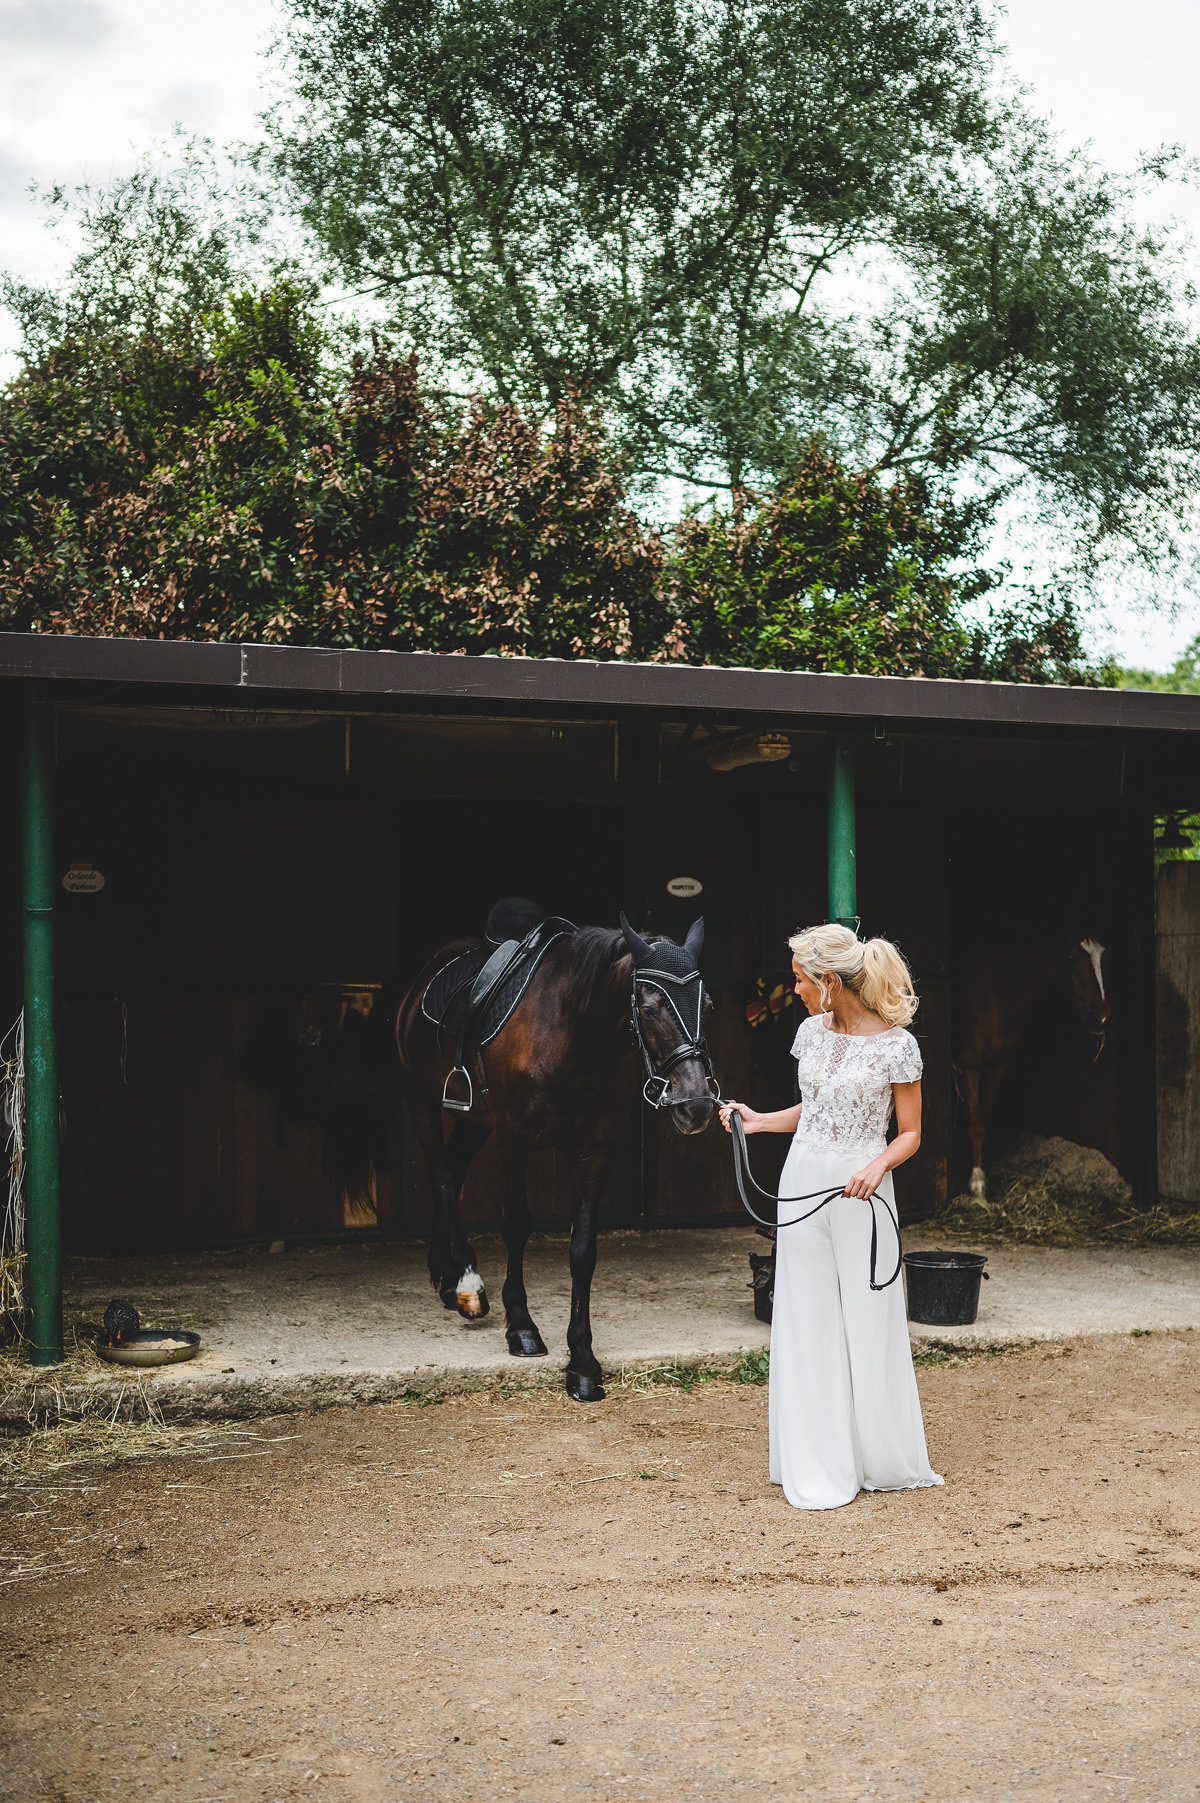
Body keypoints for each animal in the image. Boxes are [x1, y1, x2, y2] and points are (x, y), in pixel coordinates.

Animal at [392, 908, 713, 1399]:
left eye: (708, 1004)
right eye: (648, 1007)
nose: (696, 1105)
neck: (571, 1036)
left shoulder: (594, 1149)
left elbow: (582, 1250)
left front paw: (582, 1361)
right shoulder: (513, 1138)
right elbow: (517, 1225)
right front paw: (522, 1327)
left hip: (474, 1121)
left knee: (454, 1168)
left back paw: (446, 1277)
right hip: (420, 1098)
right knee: (445, 1177)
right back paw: (467, 1283)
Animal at [951, 930, 1109, 1197]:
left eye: (1102, 955)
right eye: (1070, 955)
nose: (1100, 1018)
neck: (997, 993)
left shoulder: (999, 1066)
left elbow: (985, 1118)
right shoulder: (969, 1067)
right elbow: (976, 1123)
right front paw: (977, 1184)